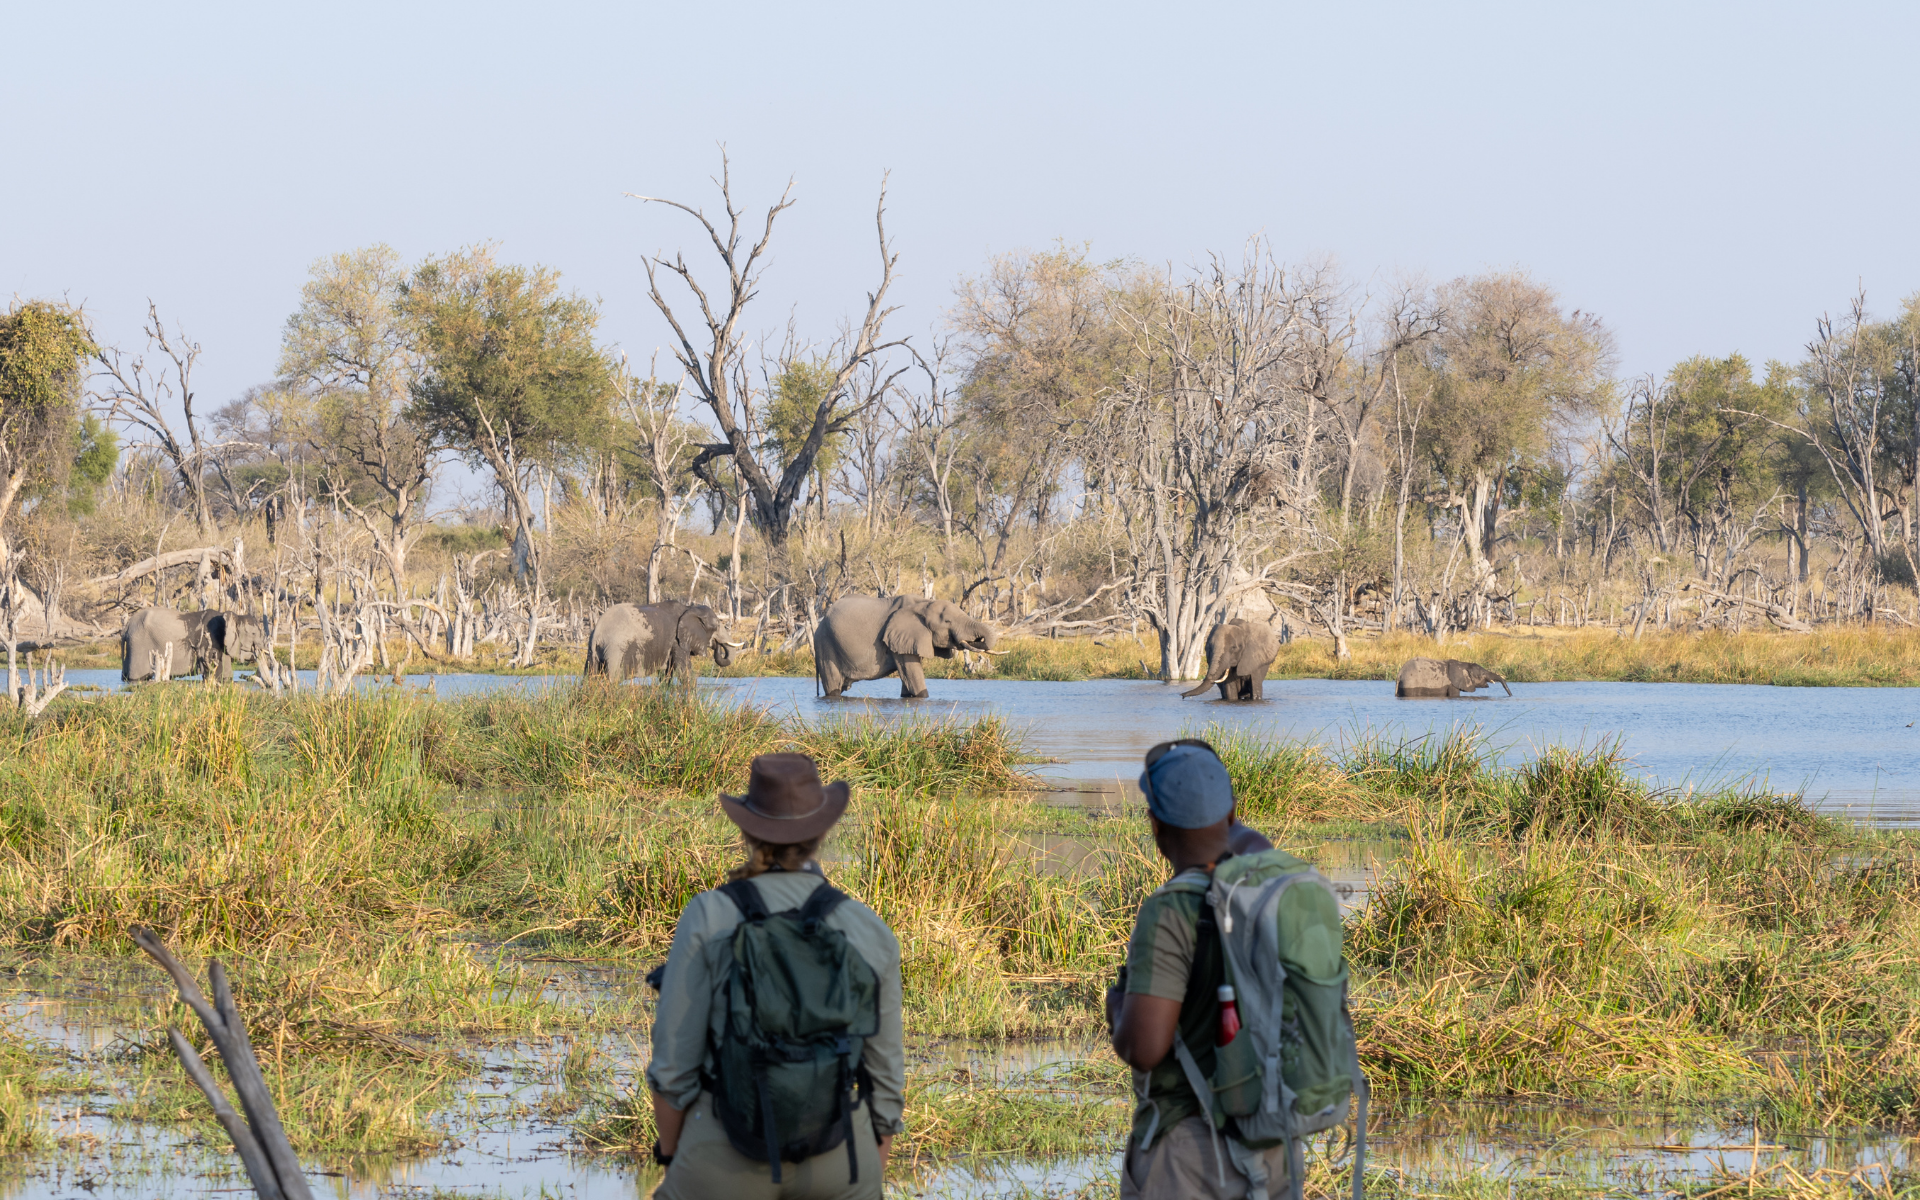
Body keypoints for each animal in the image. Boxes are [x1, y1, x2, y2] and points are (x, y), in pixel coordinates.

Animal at [121, 607, 271, 683]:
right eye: (253, 633)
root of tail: (126, 627)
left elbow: (225, 676)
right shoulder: (209, 641)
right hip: (139, 644)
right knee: (137, 677)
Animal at [584, 601, 742, 686]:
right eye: (717, 626)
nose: (717, 645)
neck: (689, 608)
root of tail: (598, 632)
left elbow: (667, 674)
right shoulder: (677, 640)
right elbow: (684, 671)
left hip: (592, 652)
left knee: (590, 678)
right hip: (616, 650)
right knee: (614, 679)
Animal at [814, 595, 999, 699]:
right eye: (947, 621)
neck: (924, 603)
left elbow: (908, 678)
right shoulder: (897, 637)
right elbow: (912, 674)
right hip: (825, 645)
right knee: (833, 686)